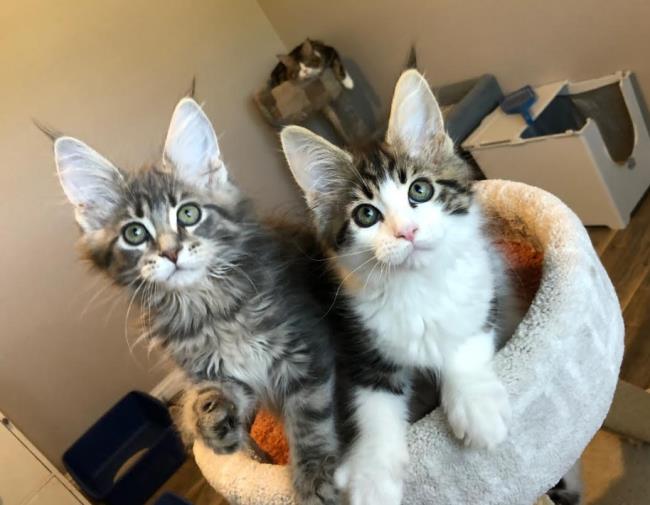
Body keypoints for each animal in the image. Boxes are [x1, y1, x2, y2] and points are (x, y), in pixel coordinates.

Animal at [280, 68, 512, 504]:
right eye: (366, 215)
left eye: (420, 190)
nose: (407, 231)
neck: (415, 287)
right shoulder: (359, 350)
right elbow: (373, 410)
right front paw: (371, 475)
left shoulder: (484, 289)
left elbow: (464, 344)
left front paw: (477, 407)